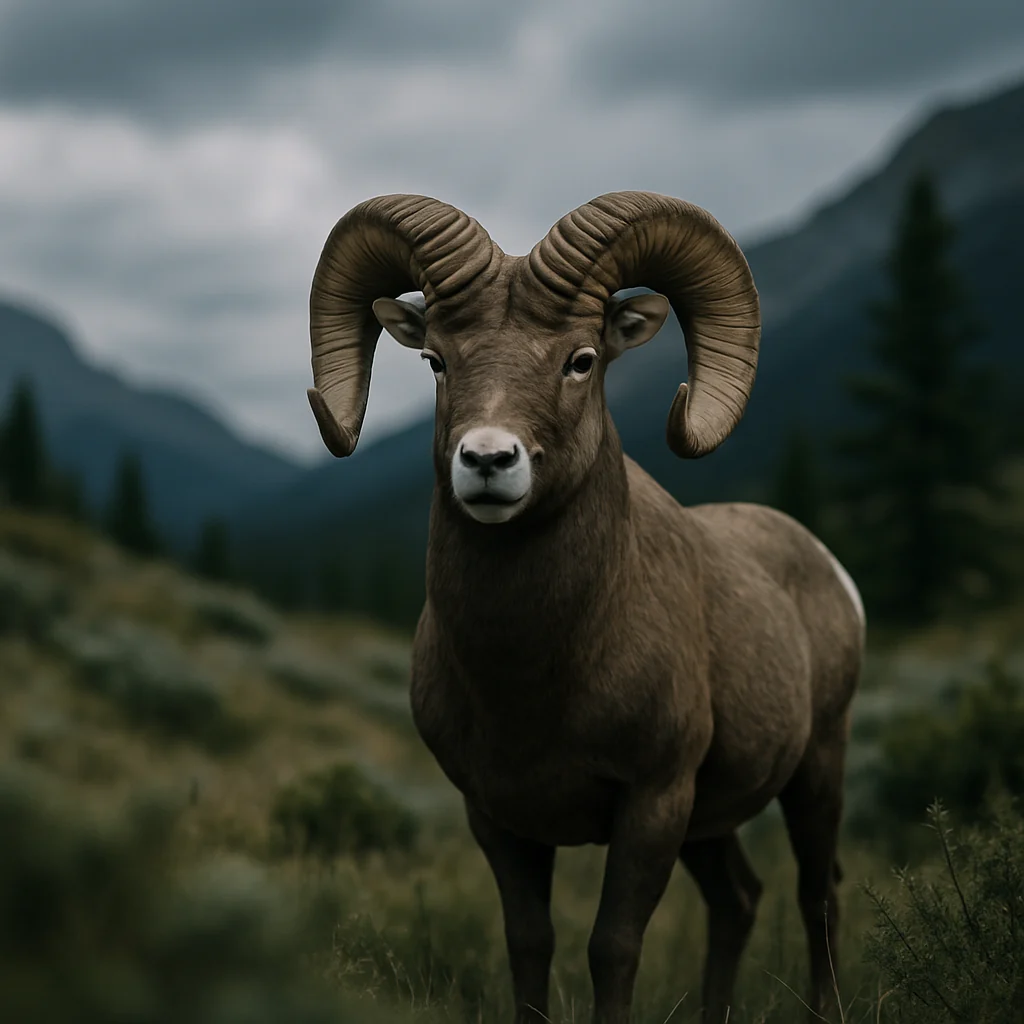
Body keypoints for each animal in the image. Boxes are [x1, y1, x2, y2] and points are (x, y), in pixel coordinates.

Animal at [306, 192, 865, 1024]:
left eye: (581, 359)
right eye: (437, 360)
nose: (489, 461)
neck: (534, 677)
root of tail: (829, 573)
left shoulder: (652, 802)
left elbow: (612, 948)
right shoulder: (497, 818)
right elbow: (530, 945)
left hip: (815, 771)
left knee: (815, 896)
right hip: (708, 828)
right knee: (738, 901)